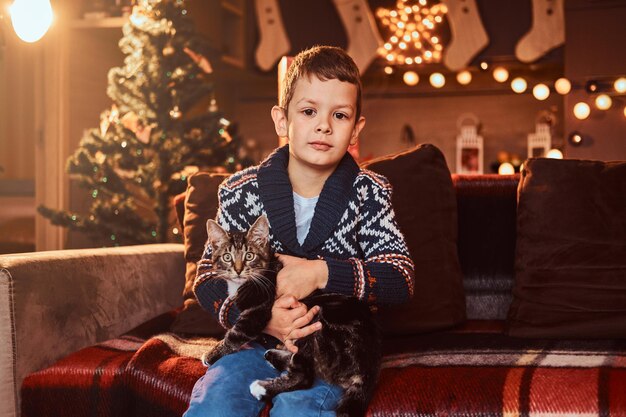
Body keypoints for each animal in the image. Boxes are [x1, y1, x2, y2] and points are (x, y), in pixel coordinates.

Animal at [202, 216, 378, 414]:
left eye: (249, 256)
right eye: (227, 257)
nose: (238, 270)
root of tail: (368, 366)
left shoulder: (258, 309)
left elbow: (236, 334)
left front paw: (211, 355)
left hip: (316, 325)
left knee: (304, 376)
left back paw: (261, 387)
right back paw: (273, 355)